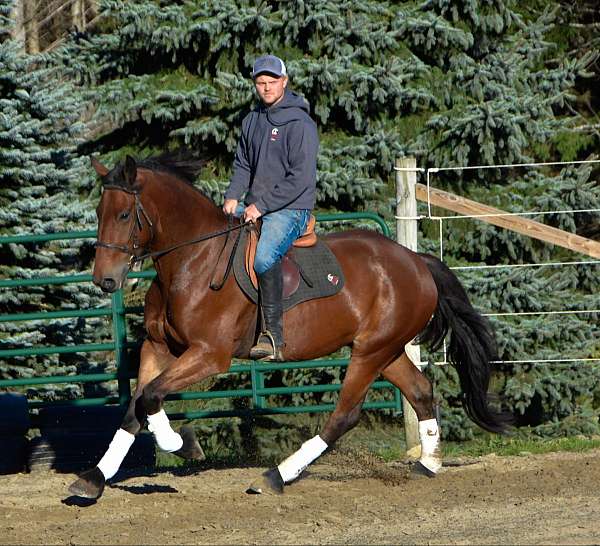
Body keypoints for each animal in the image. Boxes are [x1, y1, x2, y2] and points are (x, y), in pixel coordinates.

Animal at [68, 153, 508, 498]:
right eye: (98, 214)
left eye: (124, 214)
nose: (104, 281)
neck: (193, 260)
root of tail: (418, 263)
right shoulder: (159, 348)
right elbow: (135, 405)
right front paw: (93, 479)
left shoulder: (209, 356)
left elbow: (151, 396)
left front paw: (184, 443)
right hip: (386, 349)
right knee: (419, 391)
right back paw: (428, 465)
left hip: (371, 352)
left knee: (344, 415)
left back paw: (276, 476)